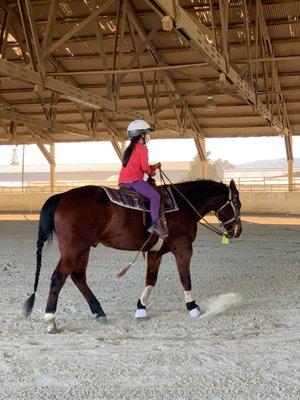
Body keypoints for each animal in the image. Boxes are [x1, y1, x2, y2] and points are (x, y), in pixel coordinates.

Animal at [24, 177, 243, 332]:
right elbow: (185, 277)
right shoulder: (183, 248)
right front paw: (193, 307)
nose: (238, 231)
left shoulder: (156, 252)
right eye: (238, 204)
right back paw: (51, 321)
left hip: (84, 248)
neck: (183, 204)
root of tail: (62, 196)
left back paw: (99, 312)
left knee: (78, 277)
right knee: (58, 277)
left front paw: (141, 308)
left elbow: (151, 279)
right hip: (73, 248)